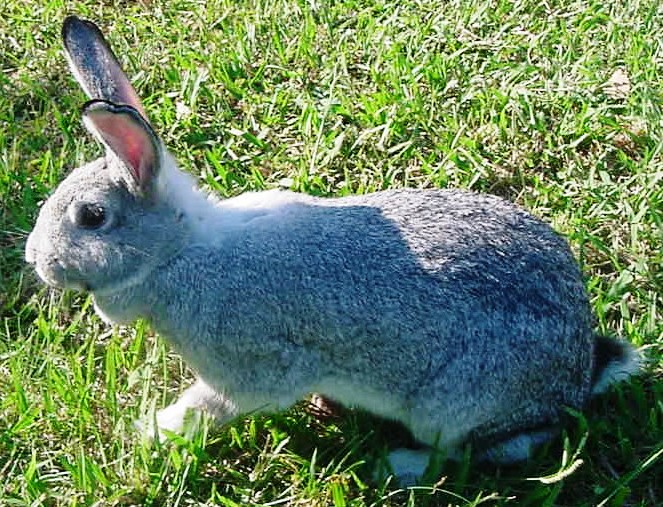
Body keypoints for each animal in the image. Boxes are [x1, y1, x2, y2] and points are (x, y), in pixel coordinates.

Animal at [25, 15, 640, 484]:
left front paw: (157, 430)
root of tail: (575, 373)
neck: (180, 250)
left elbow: (213, 405)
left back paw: (402, 463)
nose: (34, 257)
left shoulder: (252, 369)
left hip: (452, 404)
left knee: (488, 446)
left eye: (92, 218)